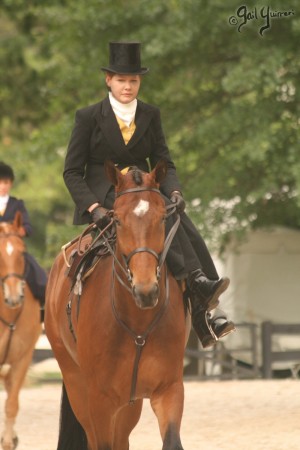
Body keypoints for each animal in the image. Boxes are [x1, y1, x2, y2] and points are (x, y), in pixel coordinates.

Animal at [44, 160, 190, 448]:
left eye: (162, 218)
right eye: (118, 221)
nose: (146, 290)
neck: (138, 323)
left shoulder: (169, 389)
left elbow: (171, 440)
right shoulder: (100, 401)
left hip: (129, 404)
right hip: (78, 387)